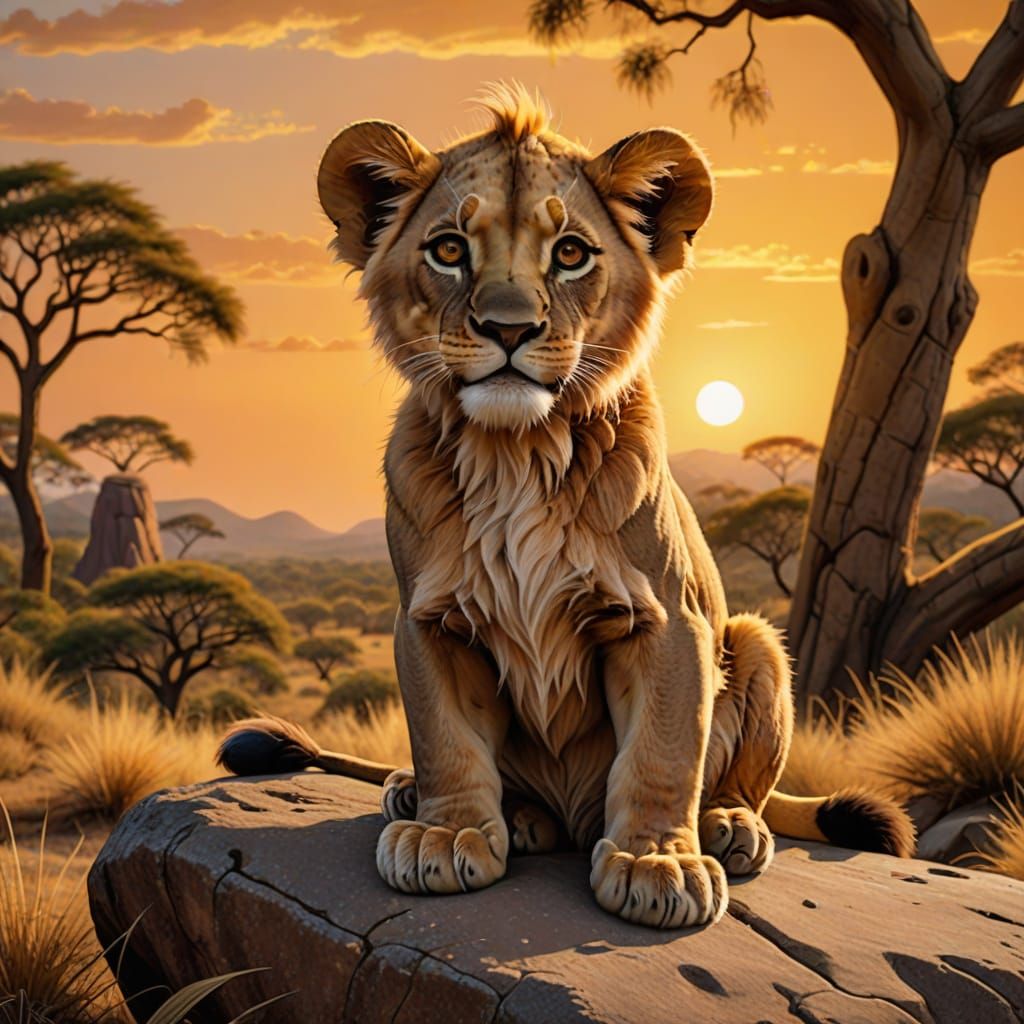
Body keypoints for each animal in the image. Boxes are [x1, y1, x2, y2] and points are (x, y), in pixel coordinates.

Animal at [219, 84, 914, 929]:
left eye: (572, 253)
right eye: (449, 250)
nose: (509, 328)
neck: (516, 452)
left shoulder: (666, 619)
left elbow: (661, 750)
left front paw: (657, 863)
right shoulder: (428, 619)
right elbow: (445, 739)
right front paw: (446, 834)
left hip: (754, 643)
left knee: (742, 778)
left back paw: (727, 827)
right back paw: (446, 803)